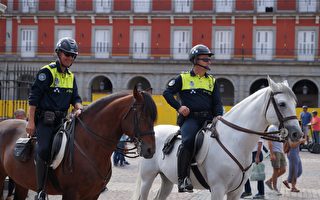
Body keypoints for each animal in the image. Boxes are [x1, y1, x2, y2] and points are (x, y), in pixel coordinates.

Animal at [0, 87, 158, 200]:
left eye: (153, 117)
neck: (90, 146)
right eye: (142, 116)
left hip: (21, 182)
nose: (150, 150)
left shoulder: (93, 194)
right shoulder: (71, 193)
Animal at [134, 77, 304, 200]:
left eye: (295, 102)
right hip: (147, 179)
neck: (235, 141)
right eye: (282, 104)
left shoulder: (236, 191)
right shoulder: (217, 188)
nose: (298, 134)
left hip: (167, 180)